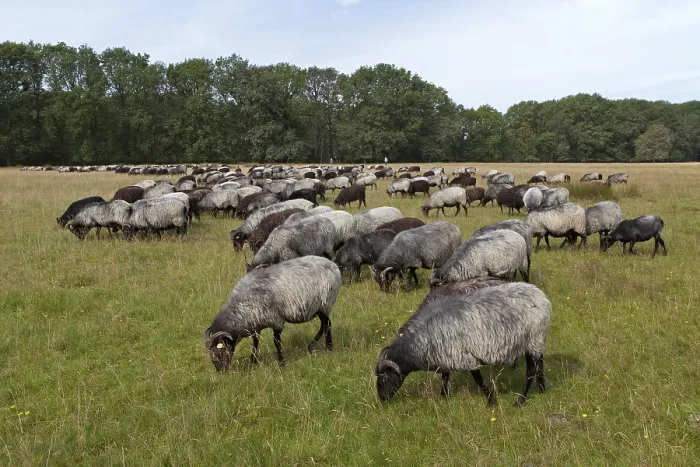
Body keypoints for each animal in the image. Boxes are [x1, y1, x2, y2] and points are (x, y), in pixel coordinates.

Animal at [205, 256, 342, 369]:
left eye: (219, 352)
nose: (221, 371)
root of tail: (333, 266)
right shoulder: (256, 324)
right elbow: (255, 341)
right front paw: (252, 361)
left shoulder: (276, 320)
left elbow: (276, 341)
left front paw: (281, 362)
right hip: (319, 307)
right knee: (324, 324)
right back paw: (312, 346)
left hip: (325, 303)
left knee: (327, 324)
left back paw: (328, 347)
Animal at [375, 282, 551, 406]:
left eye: (385, 378)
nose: (382, 398)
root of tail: (541, 296)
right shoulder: (446, 354)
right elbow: (445, 375)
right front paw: (443, 396)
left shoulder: (466, 357)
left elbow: (478, 380)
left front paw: (491, 400)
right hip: (535, 341)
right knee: (540, 363)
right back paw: (541, 388)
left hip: (533, 339)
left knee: (531, 370)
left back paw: (520, 401)